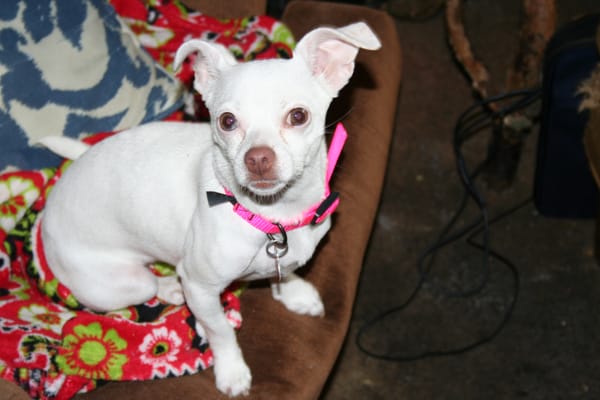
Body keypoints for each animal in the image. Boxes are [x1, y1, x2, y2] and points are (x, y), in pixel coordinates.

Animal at [38, 22, 380, 396]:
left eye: (298, 116)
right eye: (227, 121)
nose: (258, 158)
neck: (272, 218)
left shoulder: (286, 256)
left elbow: (287, 270)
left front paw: (294, 293)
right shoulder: (202, 290)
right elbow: (221, 330)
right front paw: (231, 371)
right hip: (120, 283)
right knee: (147, 284)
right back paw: (169, 286)